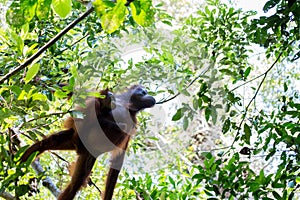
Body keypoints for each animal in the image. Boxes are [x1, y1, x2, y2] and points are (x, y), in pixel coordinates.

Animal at [19, 85, 156, 200]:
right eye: (143, 91)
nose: (148, 94)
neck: (127, 106)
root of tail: (78, 147)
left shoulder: (132, 124)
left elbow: (117, 160)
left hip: (87, 155)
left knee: (75, 184)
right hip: (72, 138)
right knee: (48, 142)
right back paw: (24, 158)